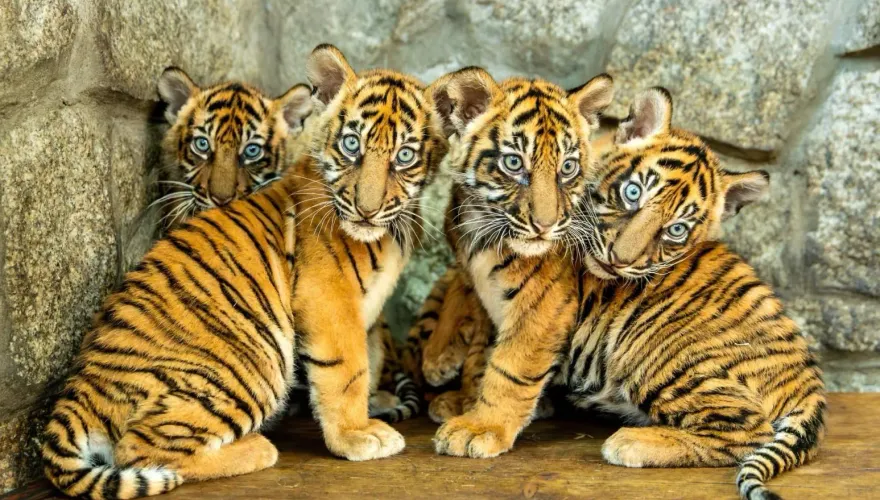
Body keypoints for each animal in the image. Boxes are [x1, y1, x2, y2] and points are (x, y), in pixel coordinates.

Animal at [41, 44, 447, 499]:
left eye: (405, 156)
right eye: (351, 145)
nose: (367, 209)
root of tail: (78, 393)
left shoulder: (368, 310)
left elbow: (371, 355)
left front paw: (378, 402)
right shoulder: (328, 296)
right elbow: (347, 370)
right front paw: (358, 435)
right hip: (253, 362)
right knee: (139, 448)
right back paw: (258, 447)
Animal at [412, 84, 826, 499]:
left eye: (676, 230)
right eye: (631, 192)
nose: (618, 261)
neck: (482, 221)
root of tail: (811, 385)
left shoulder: (543, 306)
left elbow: (510, 369)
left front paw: (479, 427)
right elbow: (469, 317)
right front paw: (447, 371)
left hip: (654, 354)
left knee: (749, 430)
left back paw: (632, 442)